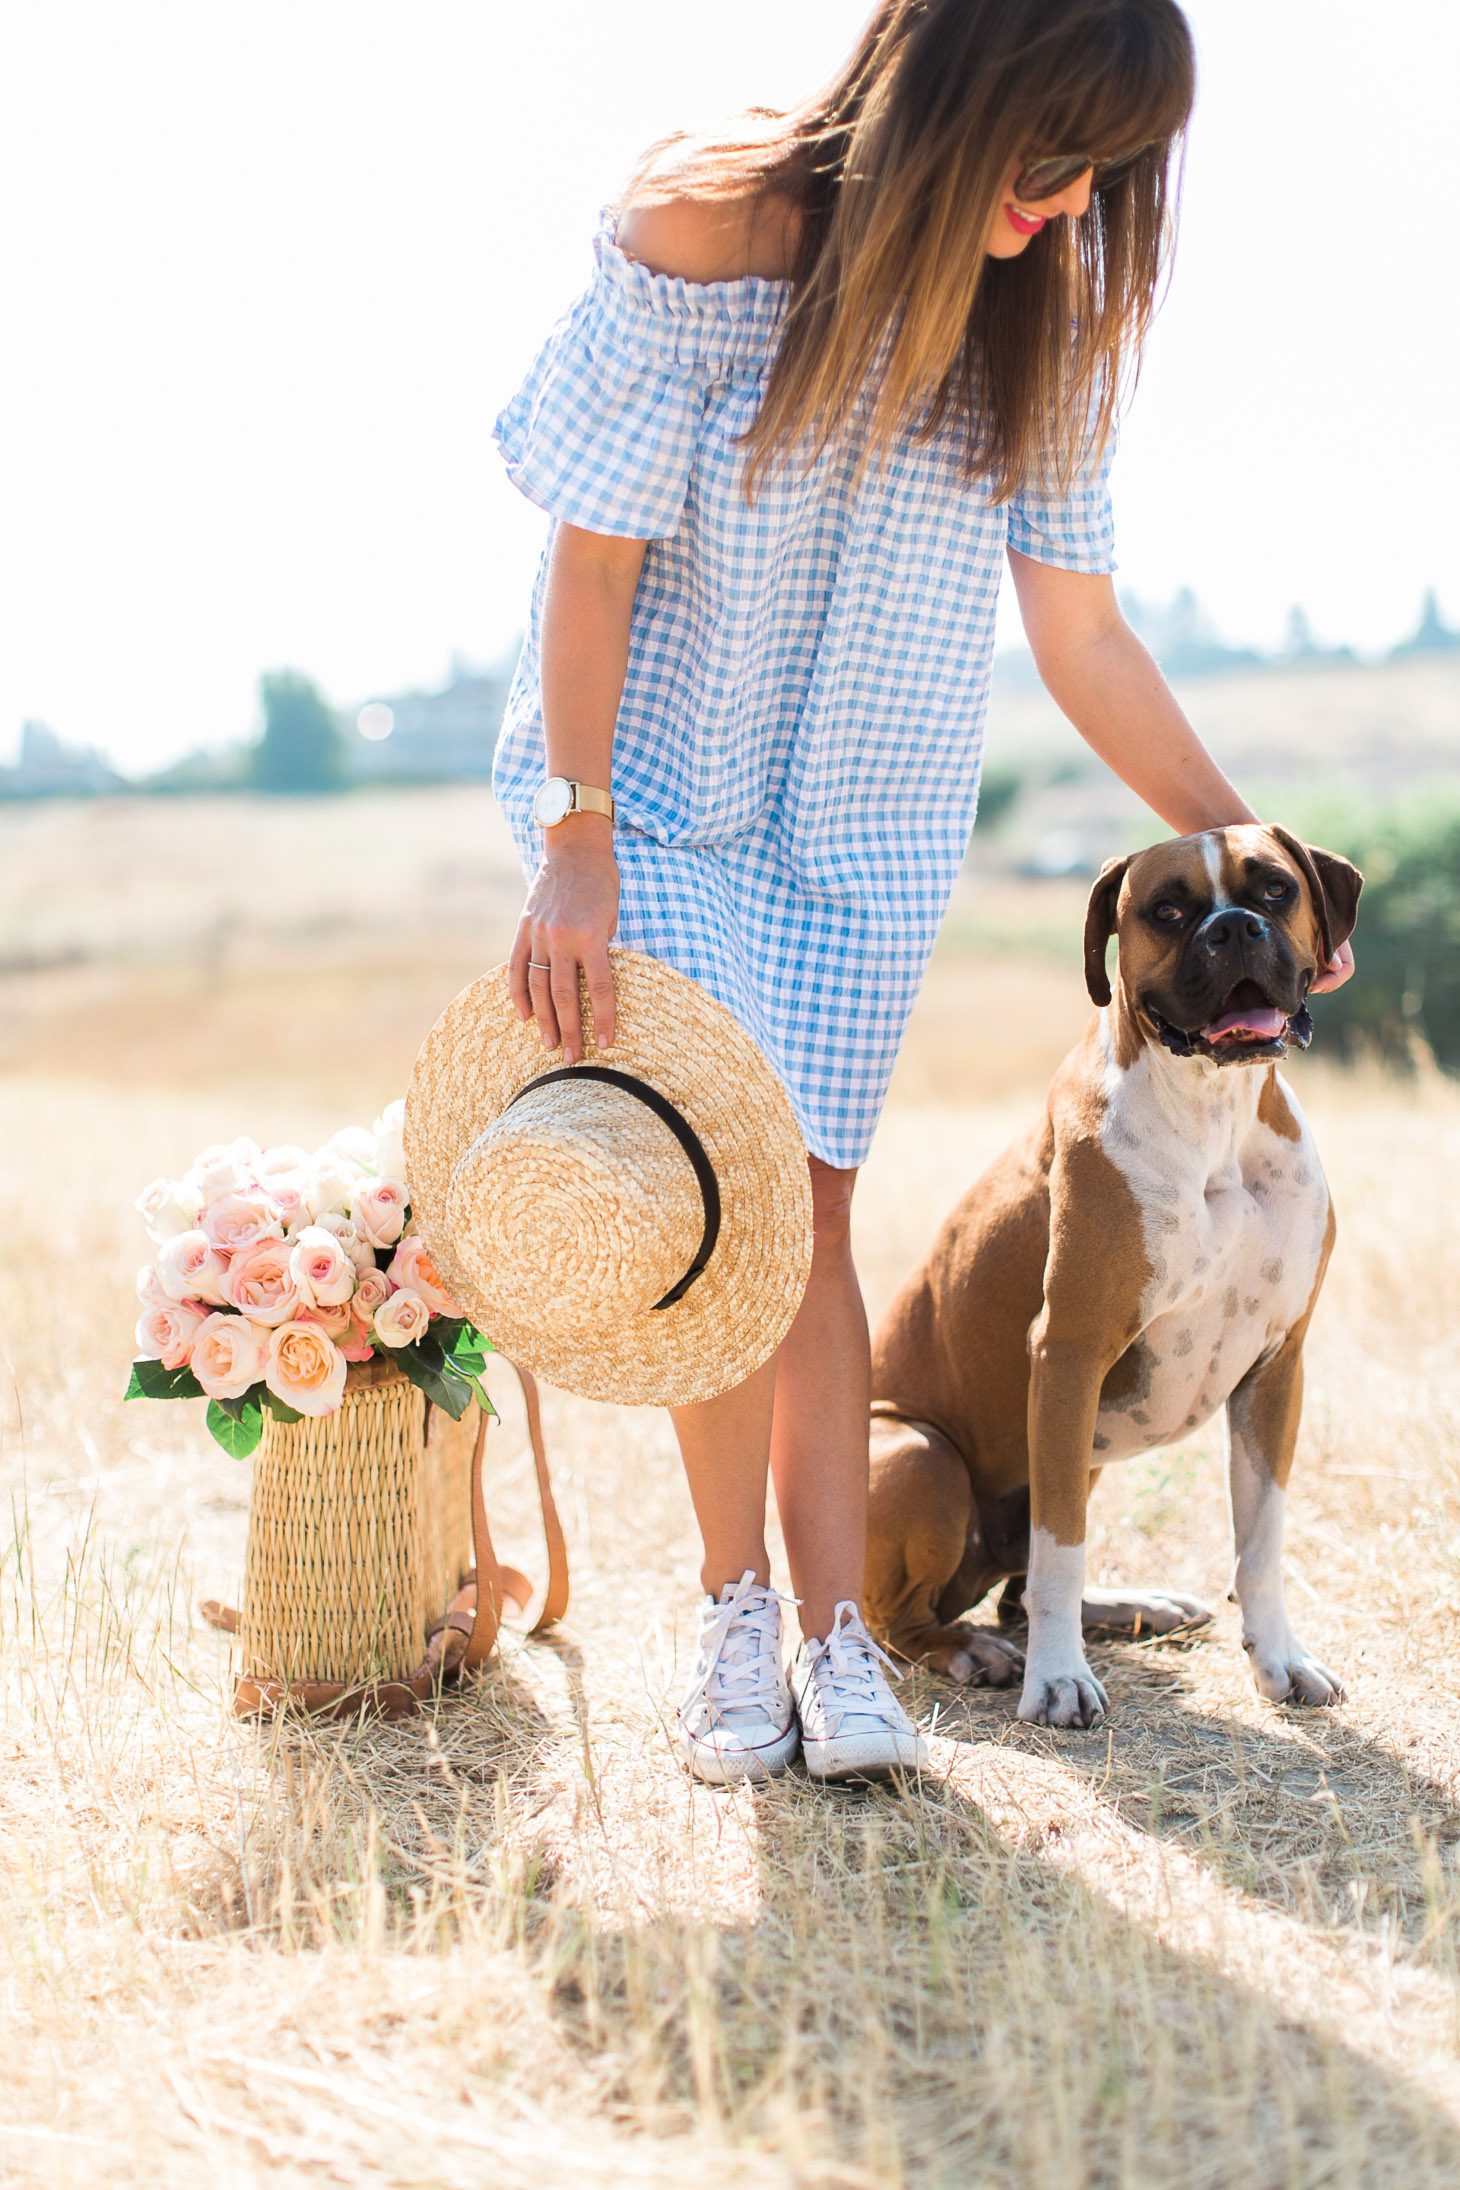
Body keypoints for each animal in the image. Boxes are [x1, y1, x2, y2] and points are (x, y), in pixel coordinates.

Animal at [862, 823, 1365, 1725]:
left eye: (1274, 889)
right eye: (1166, 910)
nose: (1235, 928)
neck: (1213, 1117)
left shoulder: (1277, 1368)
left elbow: (1261, 1539)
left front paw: (1279, 1660)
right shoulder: (1067, 1357)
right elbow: (1061, 1547)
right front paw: (1058, 1680)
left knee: (1018, 1589)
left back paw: (1133, 1607)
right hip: (919, 1452)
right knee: (914, 1616)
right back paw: (971, 1652)